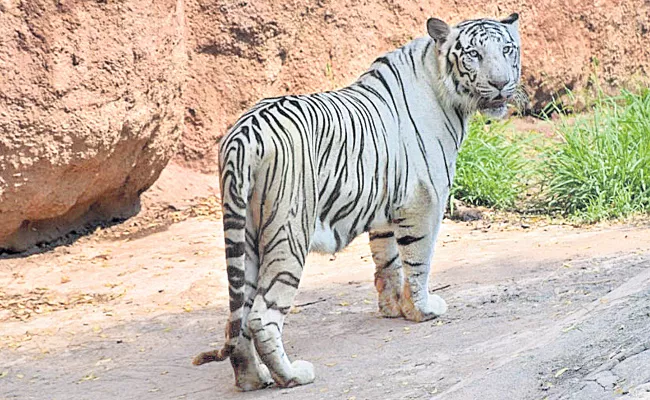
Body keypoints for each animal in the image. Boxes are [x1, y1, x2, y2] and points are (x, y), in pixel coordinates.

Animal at [192, 13, 520, 390]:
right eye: (474, 55)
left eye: (507, 50)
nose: (500, 84)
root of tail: (243, 132)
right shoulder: (425, 200)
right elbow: (418, 260)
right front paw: (423, 310)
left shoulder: (387, 206)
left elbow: (388, 260)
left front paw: (395, 308)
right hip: (287, 232)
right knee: (261, 315)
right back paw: (292, 375)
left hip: (245, 235)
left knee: (240, 316)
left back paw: (253, 378)